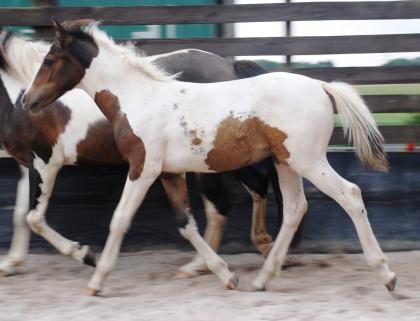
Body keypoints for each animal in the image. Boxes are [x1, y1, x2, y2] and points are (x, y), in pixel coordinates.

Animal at [23, 19, 398, 296]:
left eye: (49, 60)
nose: (28, 101)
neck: (137, 98)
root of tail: (321, 86)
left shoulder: (143, 168)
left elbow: (119, 220)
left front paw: (96, 278)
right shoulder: (169, 173)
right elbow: (186, 225)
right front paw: (225, 275)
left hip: (308, 161)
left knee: (350, 195)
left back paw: (386, 275)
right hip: (285, 163)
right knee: (294, 209)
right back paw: (262, 278)